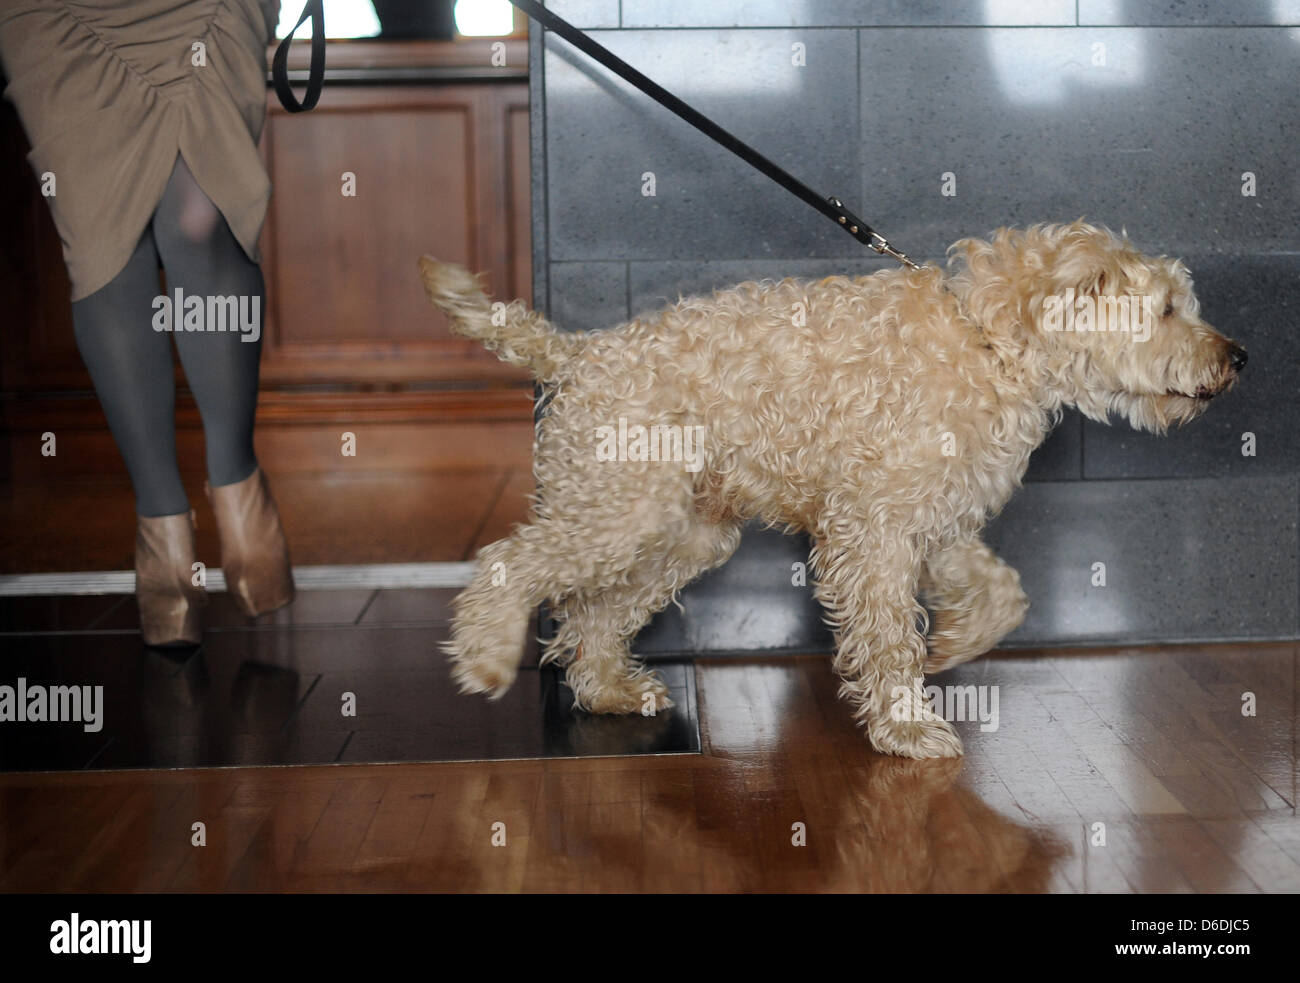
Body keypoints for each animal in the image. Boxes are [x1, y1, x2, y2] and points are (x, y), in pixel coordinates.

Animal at [421, 222, 1242, 759]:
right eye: (1168, 308)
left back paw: (609, 690)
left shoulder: (930, 520)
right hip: (620, 514)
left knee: (593, 615)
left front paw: (953, 644)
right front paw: (907, 724)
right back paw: (486, 657)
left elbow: (1003, 593)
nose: (1239, 356)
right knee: (508, 562)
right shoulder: (872, 528)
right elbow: (886, 632)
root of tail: (578, 353)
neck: (989, 342)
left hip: (680, 533)